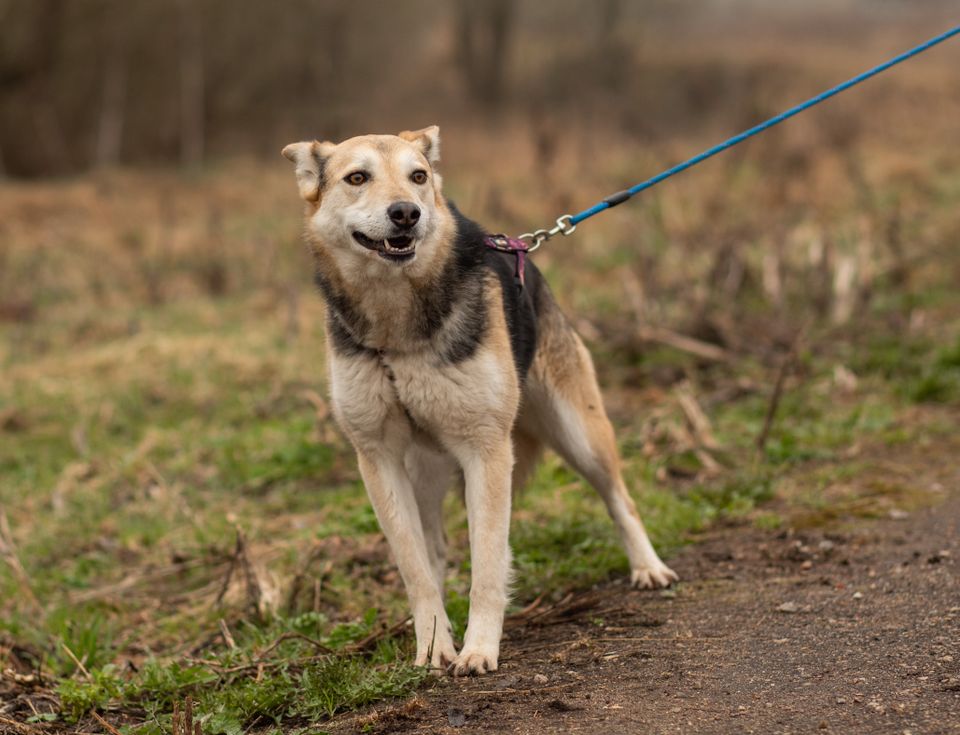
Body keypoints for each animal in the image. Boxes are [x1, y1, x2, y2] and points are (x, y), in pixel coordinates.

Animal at [282, 128, 680, 680]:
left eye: (418, 176)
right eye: (356, 177)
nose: (407, 213)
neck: (397, 328)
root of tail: (523, 248)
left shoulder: (486, 451)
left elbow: (487, 564)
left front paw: (479, 648)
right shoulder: (378, 459)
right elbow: (416, 568)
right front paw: (433, 644)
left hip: (579, 434)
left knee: (620, 498)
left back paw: (648, 567)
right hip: (423, 471)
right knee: (435, 547)